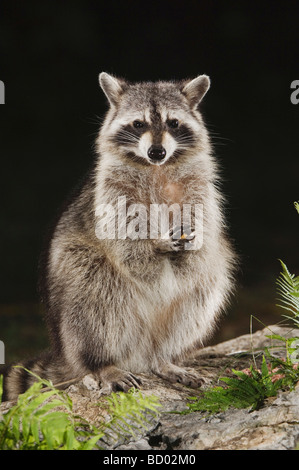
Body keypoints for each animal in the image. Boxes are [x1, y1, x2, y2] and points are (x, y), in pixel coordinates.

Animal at [1, 72, 238, 400]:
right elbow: (123, 234)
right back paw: (102, 363)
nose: (156, 152)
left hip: (195, 294)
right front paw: (155, 246)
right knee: (94, 292)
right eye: (138, 124)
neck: (156, 167)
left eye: (173, 123)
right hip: (74, 282)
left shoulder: (200, 184)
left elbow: (204, 220)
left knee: (203, 286)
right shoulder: (111, 189)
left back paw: (161, 358)